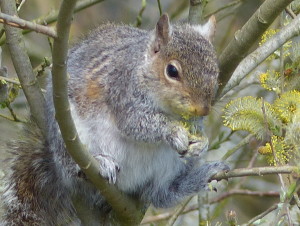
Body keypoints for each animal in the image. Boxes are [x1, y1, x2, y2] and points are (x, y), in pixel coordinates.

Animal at [1, 13, 229, 224]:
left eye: (216, 71)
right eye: (172, 71)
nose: (203, 110)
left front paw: (201, 142)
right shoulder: (121, 91)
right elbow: (136, 124)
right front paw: (173, 132)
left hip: (173, 165)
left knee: (160, 194)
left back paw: (199, 177)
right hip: (67, 134)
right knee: (72, 167)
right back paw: (100, 162)